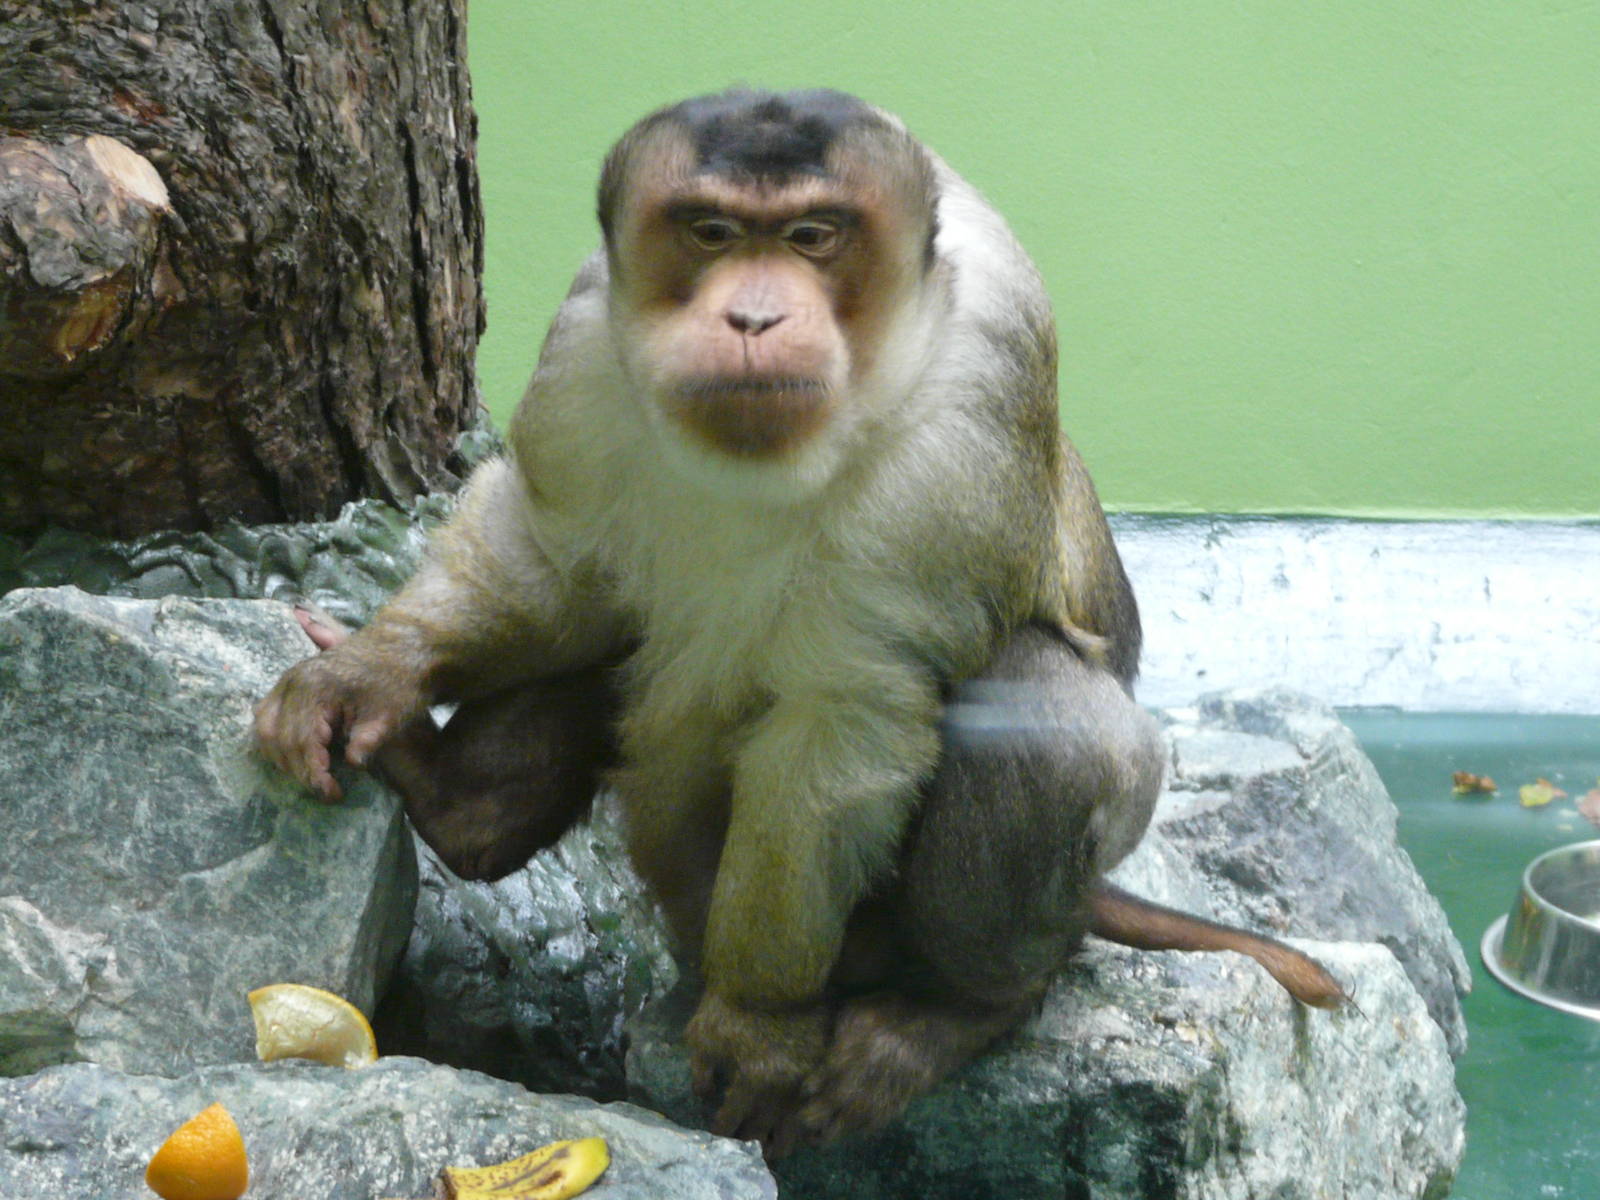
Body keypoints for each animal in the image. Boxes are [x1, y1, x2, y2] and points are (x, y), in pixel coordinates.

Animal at [255, 89, 1344, 1158]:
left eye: (814, 236)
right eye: (711, 231)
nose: (752, 313)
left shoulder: (969, 399)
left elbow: (846, 706)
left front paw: (761, 1017)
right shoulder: (584, 335)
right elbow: (555, 558)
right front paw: (372, 673)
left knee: (1033, 713)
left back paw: (961, 1006)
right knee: (637, 619)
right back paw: (463, 809)